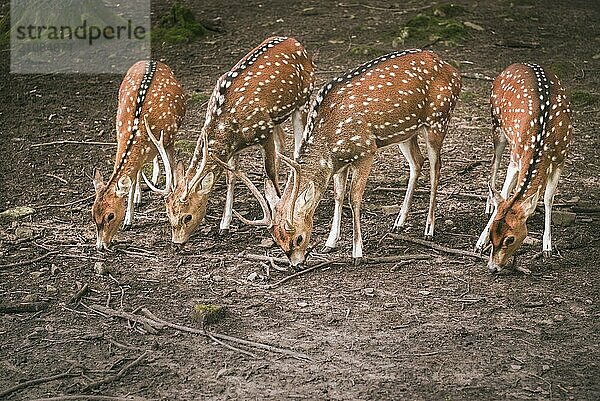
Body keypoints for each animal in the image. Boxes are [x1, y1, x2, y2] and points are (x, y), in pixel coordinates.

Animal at [91, 59, 185, 248]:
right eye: (92, 214)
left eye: (110, 215)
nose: (100, 246)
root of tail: (151, 60)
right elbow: (133, 180)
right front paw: (129, 220)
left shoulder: (169, 139)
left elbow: (172, 170)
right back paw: (139, 195)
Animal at [150, 36, 316, 244]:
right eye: (168, 214)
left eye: (187, 217)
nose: (177, 243)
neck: (229, 125)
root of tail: (295, 42)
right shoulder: (234, 147)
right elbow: (231, 177)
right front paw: (224, 225)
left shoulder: (264, 131)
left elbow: (269, 172)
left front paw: (279, 212)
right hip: (277, 117)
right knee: (283, 142)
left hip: (303, 100)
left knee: (297, 146)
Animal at [223, 50, 462, 268]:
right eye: (277, 241)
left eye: (299, 238)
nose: (297, 264)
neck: (330, 137)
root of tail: (454, 71)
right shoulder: (339, 162)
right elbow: (338, 195)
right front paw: (330, 243)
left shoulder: (366, 150)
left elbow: (353, 198)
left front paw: (357, 252)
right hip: (405, 132)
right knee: (417, 162)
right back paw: (399, 222)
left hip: (438, 119)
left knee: (436, 168)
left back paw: (429, 229)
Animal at [476, 64, 576, 274]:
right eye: (492, 233)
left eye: (510, 239)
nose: (492, 267)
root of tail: (516, 65)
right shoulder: (517, 157)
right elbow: (506, 193)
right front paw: (480, 242)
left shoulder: (561, 158)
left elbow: (547, 199)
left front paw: (547, 247)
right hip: (497, 125)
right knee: (494, 165)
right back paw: (489, 204)